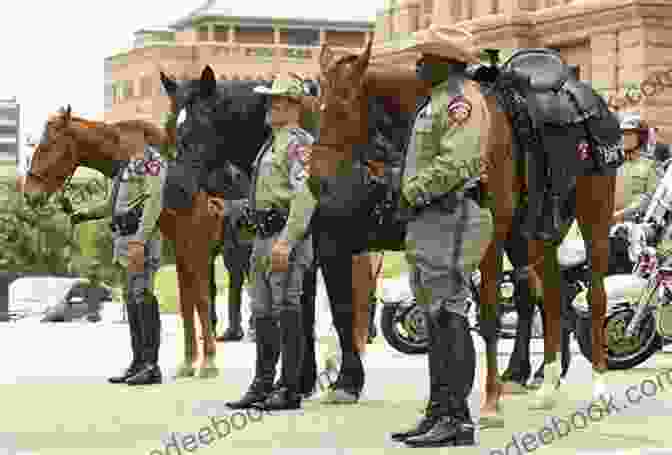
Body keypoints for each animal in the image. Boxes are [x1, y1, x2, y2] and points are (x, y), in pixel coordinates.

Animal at [23, 106, 249, 378]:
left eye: (48, 144)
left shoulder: (196, 248)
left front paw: (208, 363)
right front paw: (188, 362)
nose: (29, 193)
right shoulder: (183, 252)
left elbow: (202, 301)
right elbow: (187, 303)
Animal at [312, 40, 628, 424]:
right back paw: (547, 385)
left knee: (593, 294)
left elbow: (489, 315)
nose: (317, 181)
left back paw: (598, 387)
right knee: (552, 295)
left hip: (593, 212)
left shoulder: (490, 238)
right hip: (536, 231)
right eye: (317, 108)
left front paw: (490, 402)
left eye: (342, 109)